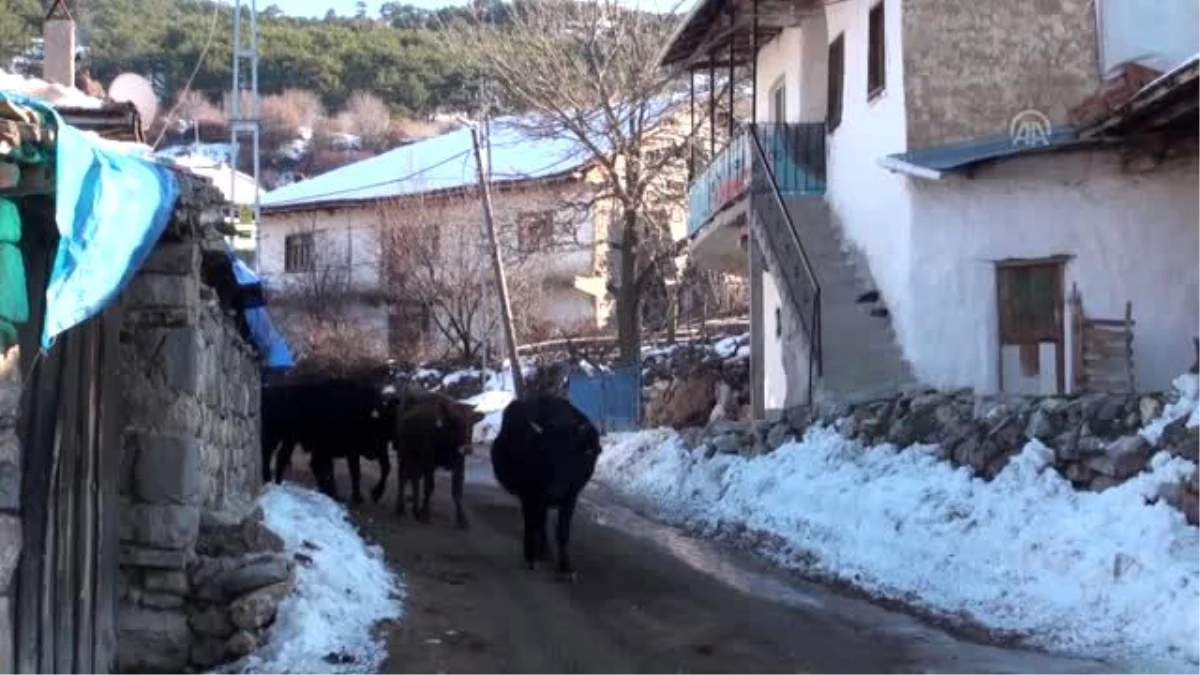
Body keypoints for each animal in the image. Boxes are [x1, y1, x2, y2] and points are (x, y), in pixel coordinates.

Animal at [262, 374, 393, 502]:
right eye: (375, 429)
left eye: (386, 431)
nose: (374, 453)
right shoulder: (327, 449)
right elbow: (329, 470)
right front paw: (335, 494)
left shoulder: (349, 451)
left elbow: (356, 472)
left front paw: (358, 497)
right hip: (277, 438)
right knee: (271, 456)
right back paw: (269, 480)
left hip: (288, 440)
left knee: (280, 458)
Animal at [487, 393, 600, 578]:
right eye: (545, 453)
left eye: (572, 456)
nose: (555, 491)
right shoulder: (530, 494)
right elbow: (532, 524)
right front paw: (530, 557)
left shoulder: (571, 495)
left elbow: (562, 532)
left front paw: (565, 567)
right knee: (537, 522)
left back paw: (545, 552)